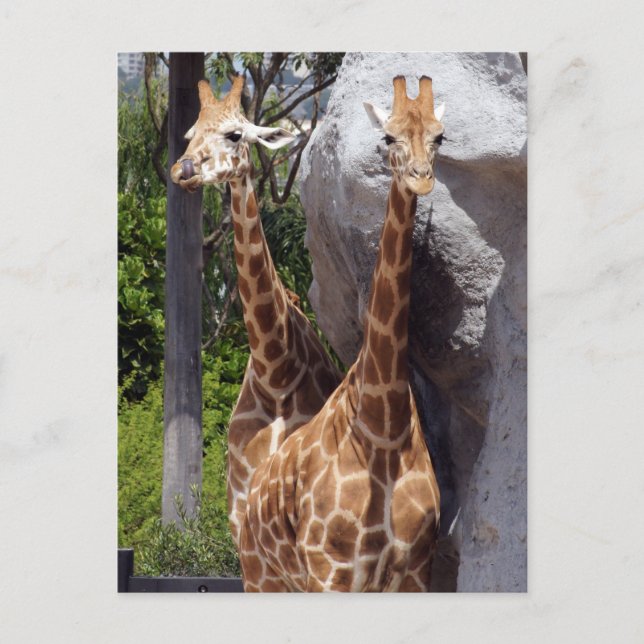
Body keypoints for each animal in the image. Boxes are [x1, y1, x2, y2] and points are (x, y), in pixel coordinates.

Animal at [239, 75, 446, 592]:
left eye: (440, 137)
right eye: (388, 137)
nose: (420, 177)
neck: (383, 426)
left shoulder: (416, 569)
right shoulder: (331, 569)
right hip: (260, 576)